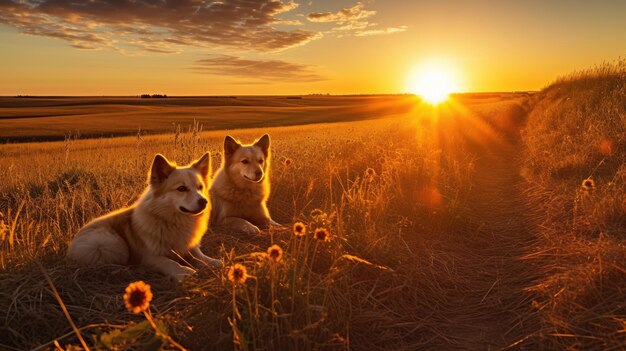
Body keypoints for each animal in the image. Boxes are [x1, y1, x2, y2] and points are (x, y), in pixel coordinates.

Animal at [66, 154, 221, 280]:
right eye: (181, 189)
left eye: (200, 187)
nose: (204, 202)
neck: (172, 221)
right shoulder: (150, 257)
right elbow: (170, 262)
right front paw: (184, 271)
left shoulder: (188, 245)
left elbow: (199, 255)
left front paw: (212, 261)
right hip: (107, 244)